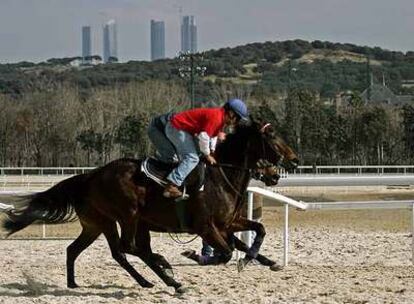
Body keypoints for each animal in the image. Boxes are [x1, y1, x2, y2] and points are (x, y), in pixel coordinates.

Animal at [2, 120, 298, 294]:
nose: (293, 162)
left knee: (90, 250)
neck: (220, 174)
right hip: (126, 216)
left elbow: (256, 231)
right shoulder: (206, 227)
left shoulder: (227, 223)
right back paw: (166, 273)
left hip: (100, 224)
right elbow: (225, 252)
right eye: (272, 137)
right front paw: (193, 255)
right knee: (128, 248)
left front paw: (266, 261)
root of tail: (91, 176)